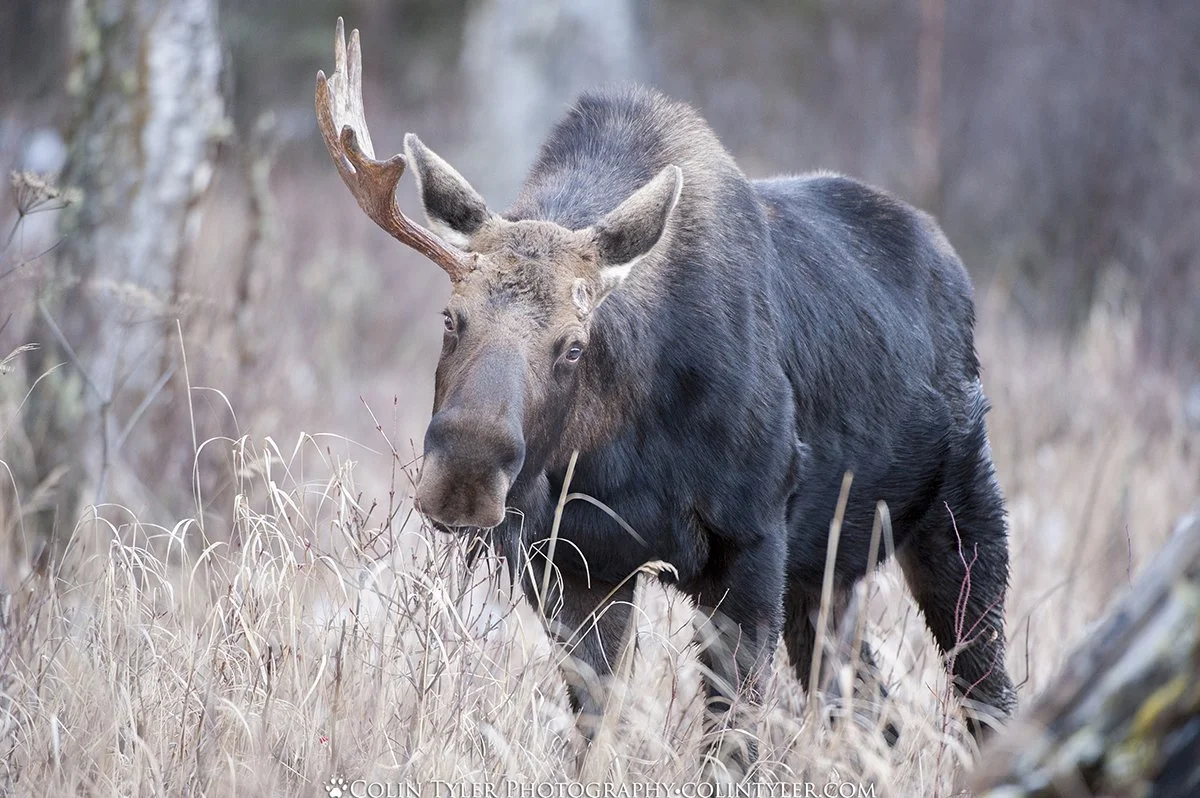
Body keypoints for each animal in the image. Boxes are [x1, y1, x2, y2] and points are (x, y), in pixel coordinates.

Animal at [316, 18, 1017, 773]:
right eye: (451, 318)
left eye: (573, 345)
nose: (464, 479)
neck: (615, 454)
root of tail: (952, 269)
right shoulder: (575, 566)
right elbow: (592, 730)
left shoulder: (752, 543)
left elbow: (732, 741)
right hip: (829, 571)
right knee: (871, 715)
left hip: (962, 511)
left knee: (985, 695)